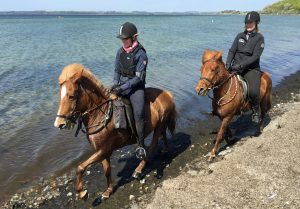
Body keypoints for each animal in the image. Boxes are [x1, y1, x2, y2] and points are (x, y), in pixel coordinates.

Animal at [54, 63, 177, 199]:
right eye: (60, 95)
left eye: (71, 96)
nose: (59, 124)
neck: (101, 113)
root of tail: (167, 94)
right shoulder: (101, 151)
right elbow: (107, 170)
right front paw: (108, 191)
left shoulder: (104, 149)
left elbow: (80, 167)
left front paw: (82, 192)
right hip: (161, 124)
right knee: (163, 134)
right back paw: (166, 150)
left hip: (158, 126)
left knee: (152, 146)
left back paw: (138, 170)